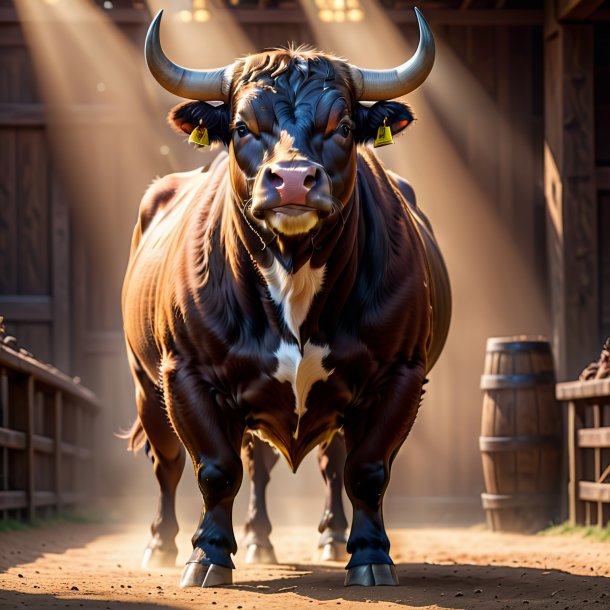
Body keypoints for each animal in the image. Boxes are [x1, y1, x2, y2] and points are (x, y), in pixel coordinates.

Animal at [121, 7, 448, 588]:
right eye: (241, 128)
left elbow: (367, 470)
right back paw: (165, 544)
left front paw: (370, 556)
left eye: (343, 126)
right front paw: (206, 556)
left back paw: (318, 538)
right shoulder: (186, 372)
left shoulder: (401, 373)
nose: (293, 180)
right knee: (170, 462)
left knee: (323, 464)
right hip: (145, 383)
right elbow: (214, 467)